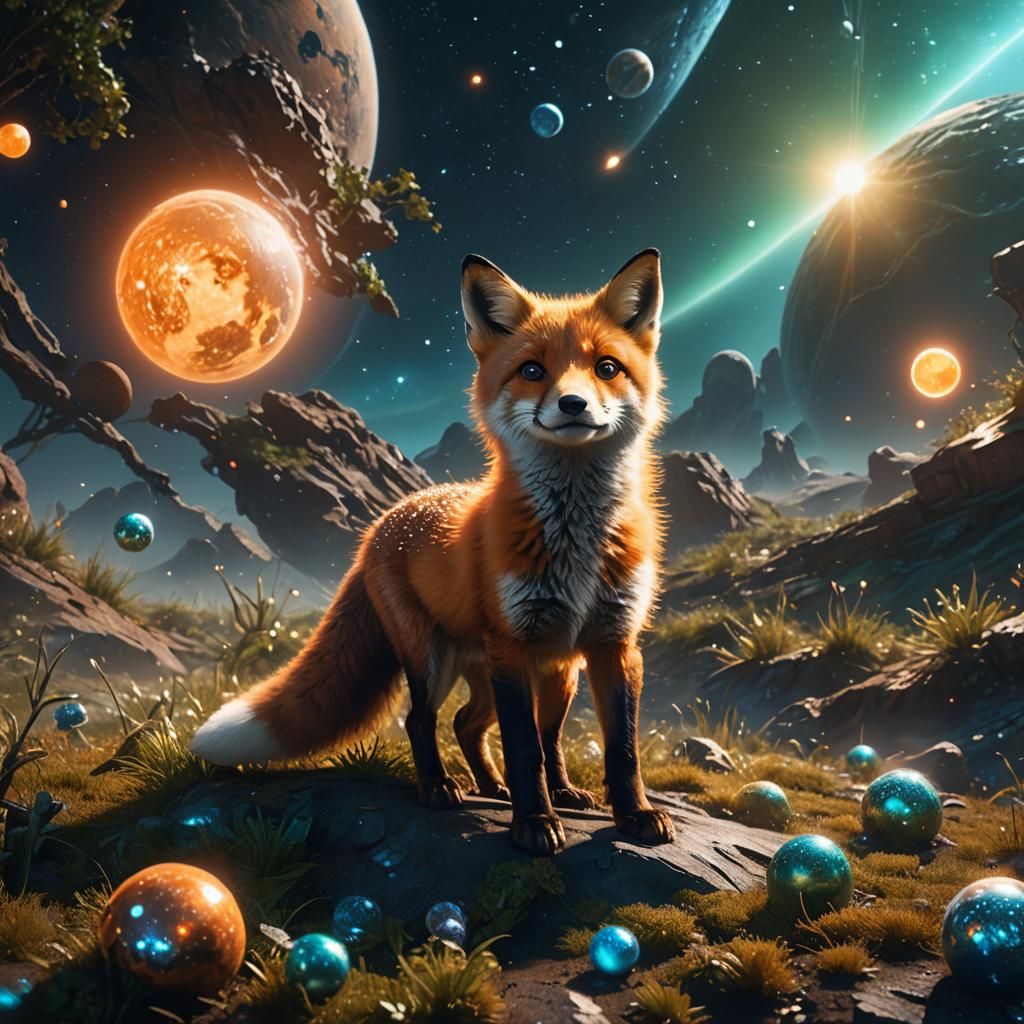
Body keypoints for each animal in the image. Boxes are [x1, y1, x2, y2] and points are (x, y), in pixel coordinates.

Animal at [191, 248, 675, 855]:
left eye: (607, 367)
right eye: (532, 370)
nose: (573, 404)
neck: (575, 543)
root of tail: (383, 522)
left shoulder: (615, 644)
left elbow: (619, 749)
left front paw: (634, 815)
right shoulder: (513, 645)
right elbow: (524, 750)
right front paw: (533, 824)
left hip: (547, 671)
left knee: (487, 725)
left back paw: (519, 789)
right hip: (435, 659)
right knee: (423, 722)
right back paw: (441, 788)